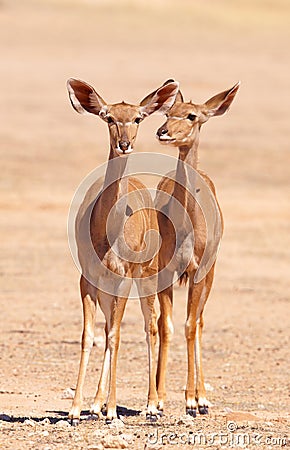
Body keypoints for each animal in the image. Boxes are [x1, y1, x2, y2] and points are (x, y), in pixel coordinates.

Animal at [66, 78, 179, 426]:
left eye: (138, 117)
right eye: (108, 117)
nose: (124, 143)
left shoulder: (122, 278)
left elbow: (116, 335)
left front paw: (114, 410)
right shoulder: (88, 280)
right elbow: (90, 335)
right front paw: (75, 409)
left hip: (144, 280)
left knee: (150, 326)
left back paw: (151, 406)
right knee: (107, 329)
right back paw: (95, 404)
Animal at [155, 81, 239, 414]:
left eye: (191, 115)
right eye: (168, 112)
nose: (163, 131)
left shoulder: (199, 271)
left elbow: (191, 325)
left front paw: (192, 399)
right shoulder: (166, 273)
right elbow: (166, 325)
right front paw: (157, 402)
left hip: (209, 275)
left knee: (200, 322)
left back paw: (201, 397)